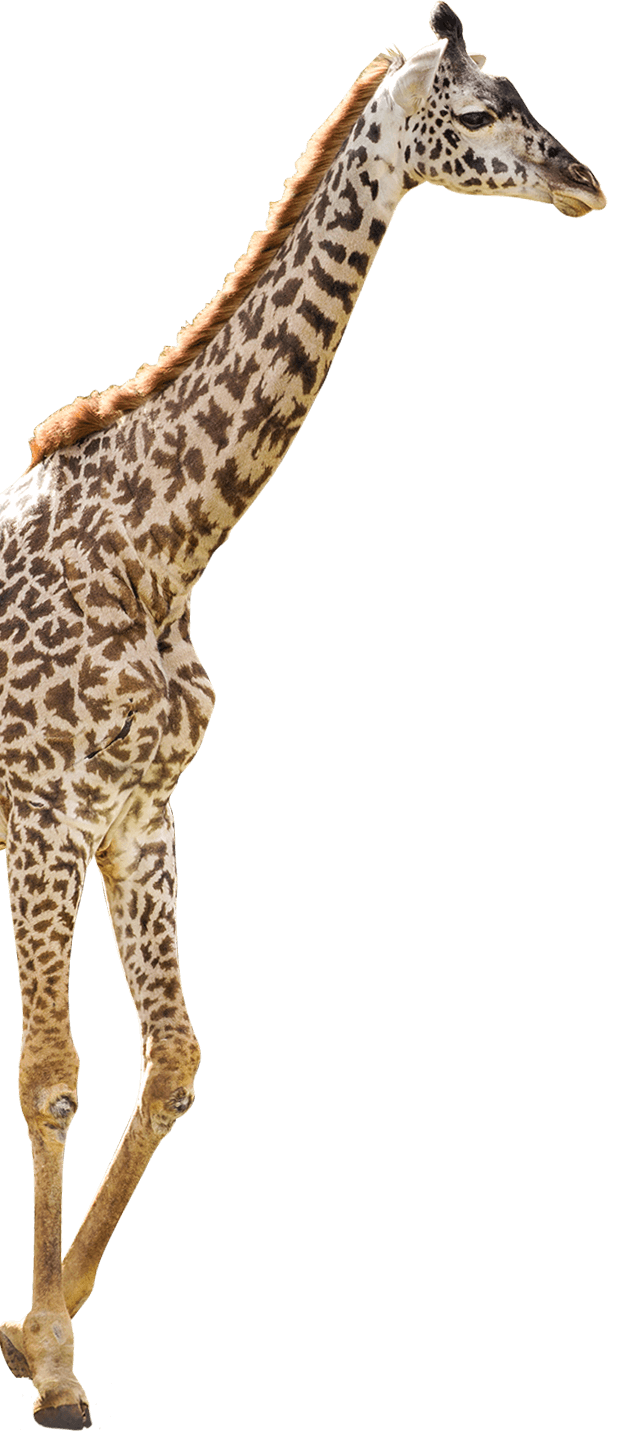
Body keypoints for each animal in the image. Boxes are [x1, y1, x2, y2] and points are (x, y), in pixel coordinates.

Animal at [0, 4, 606, 1426]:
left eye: (525, 96)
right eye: (480, 114)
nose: (584, 184)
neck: (159, 545)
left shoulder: (142, 809)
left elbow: (172, 1057)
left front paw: (51, 1329)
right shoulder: (44, 805)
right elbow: (50, 1071)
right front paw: (45, 1360)